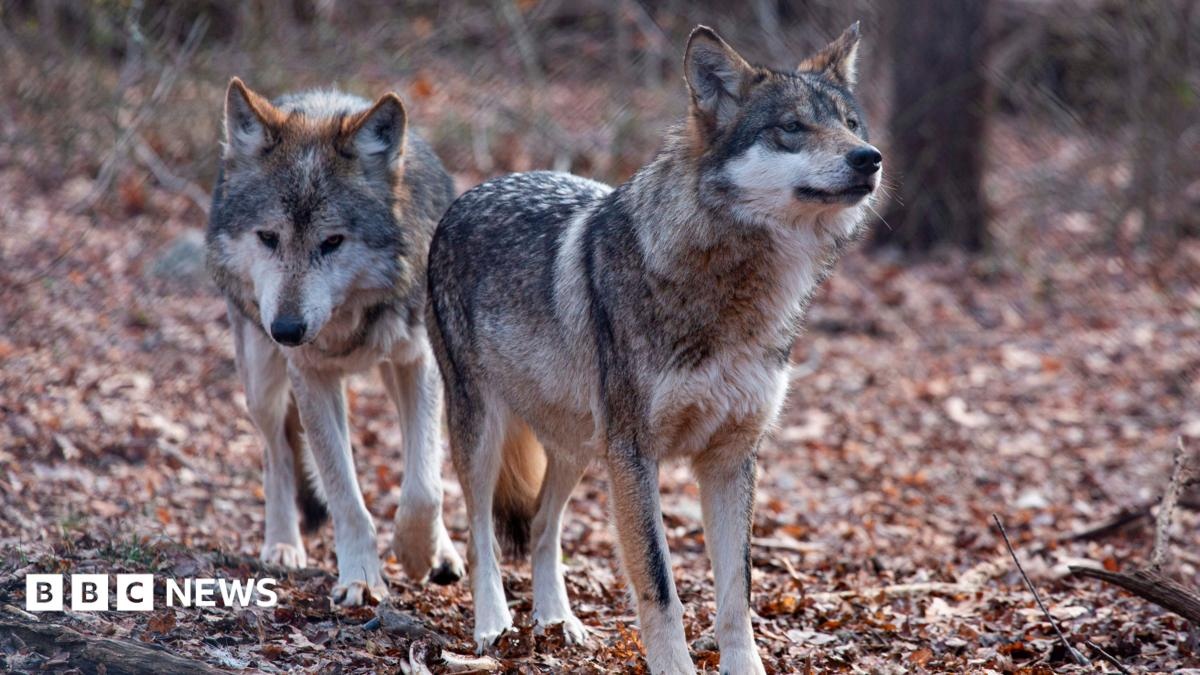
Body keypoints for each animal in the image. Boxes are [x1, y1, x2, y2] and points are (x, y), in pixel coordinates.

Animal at [206, 78, 465, 607]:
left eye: (332, 242)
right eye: (268, 237)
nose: (286, 330)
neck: (347, 321)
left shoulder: (419, 362)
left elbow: (424, 486)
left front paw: (416, 553)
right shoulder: (311, 376)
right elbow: (345, 494)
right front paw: (362, 577)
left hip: (395, 373)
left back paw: (443, 552)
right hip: (262, 382)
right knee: (277, 456)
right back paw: (283, 544)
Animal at [426, 24, 880, 674]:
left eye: (851, 123)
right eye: (792, 127)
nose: (870, 158)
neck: (735, 293)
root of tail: (472, 191)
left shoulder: (731, 458)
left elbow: (738, 594)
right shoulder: (637, 455)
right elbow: (660, 586)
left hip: (580, 447)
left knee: (541, 525)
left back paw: (557, 622)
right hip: (487, 433)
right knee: (480, 534)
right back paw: (494, 627)